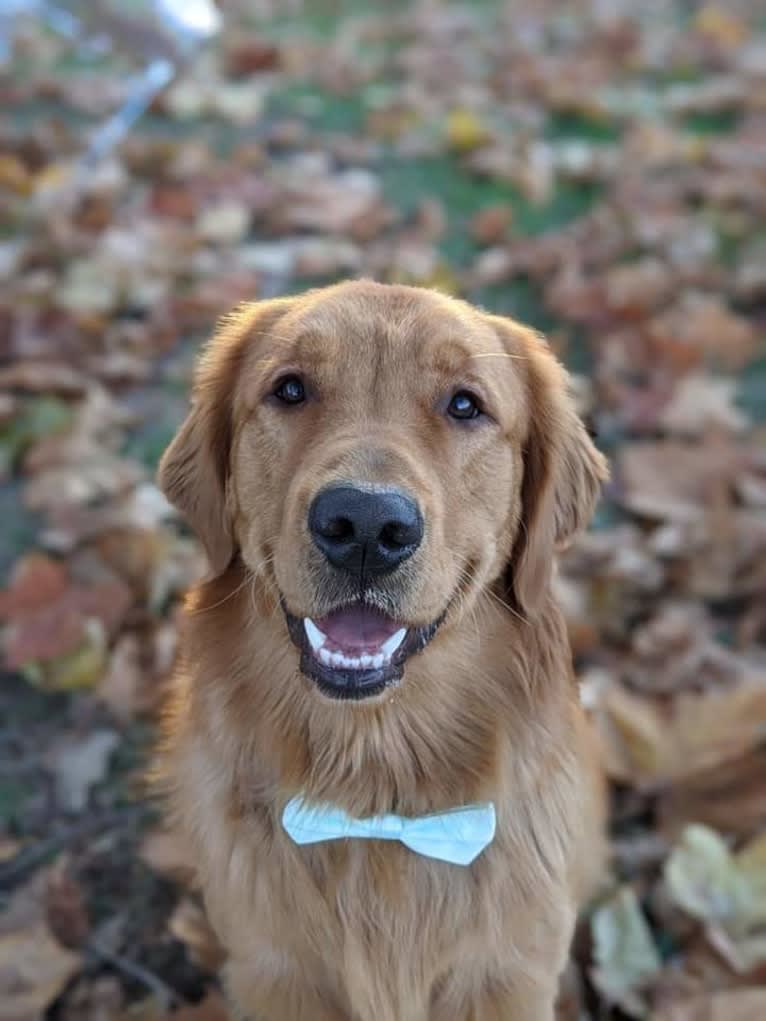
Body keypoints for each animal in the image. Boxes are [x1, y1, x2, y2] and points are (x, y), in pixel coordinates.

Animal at [157, 281, 612, 1021]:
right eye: (290, 388)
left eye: (465, 404)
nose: (365, 525)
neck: (375, 790)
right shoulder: (274, 970)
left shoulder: (507, 973)